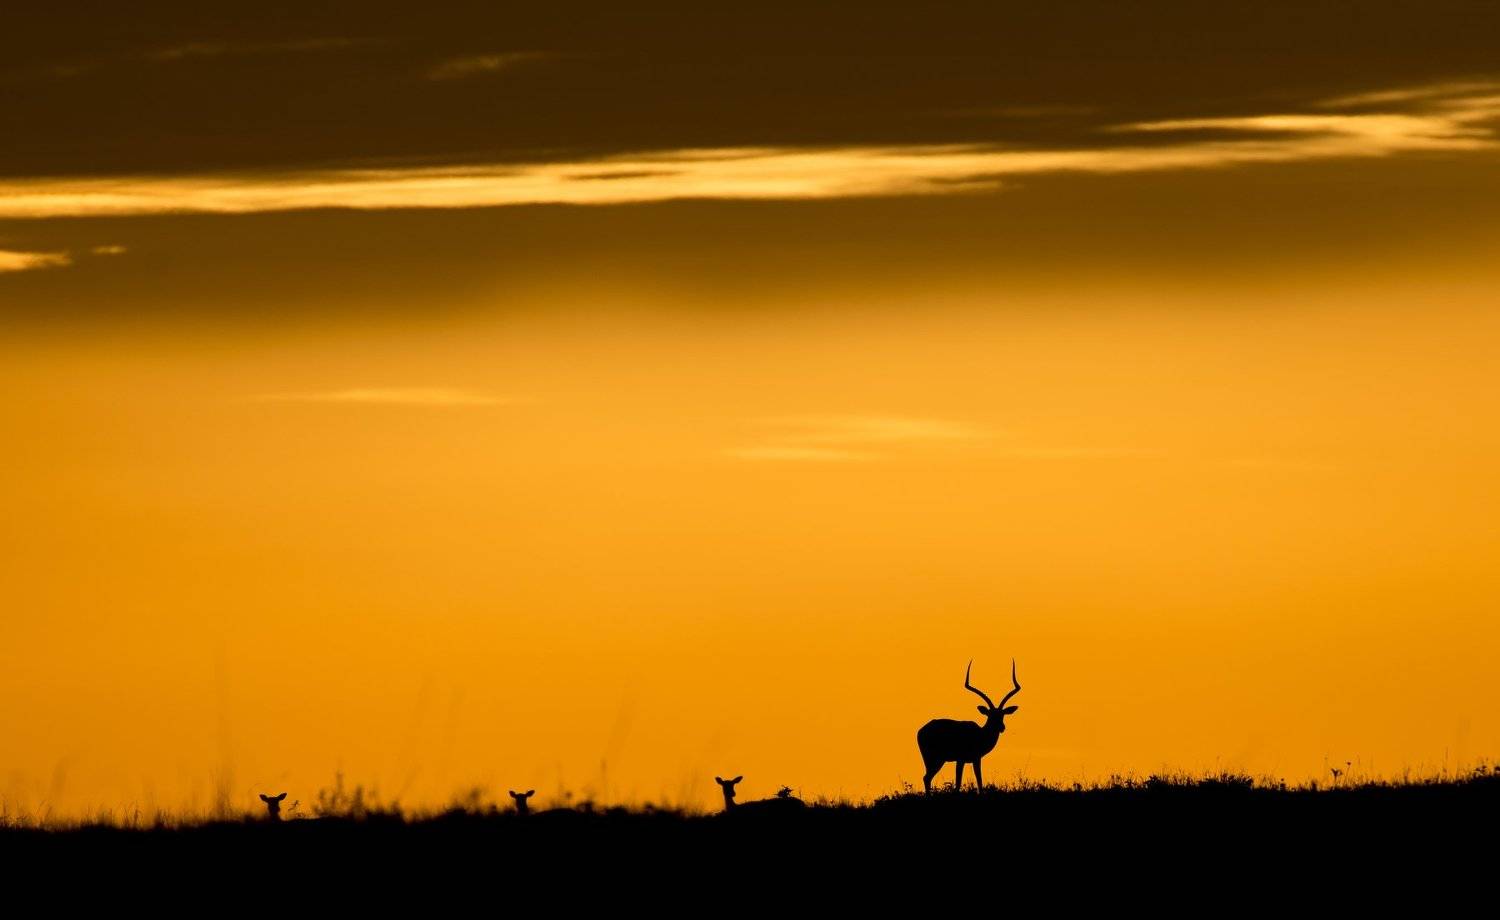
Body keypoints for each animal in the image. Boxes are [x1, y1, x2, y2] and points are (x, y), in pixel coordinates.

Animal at [917, 659, 1021, 793]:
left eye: (1002, 715)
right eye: (990, 715)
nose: (1001, 727)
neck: (980, 734)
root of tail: (921, 731)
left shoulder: (972, 759)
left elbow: (976, 782)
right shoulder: (964, 759)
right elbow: (962, 783)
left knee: (927, 778)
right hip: (936, 759)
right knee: (927, 777)